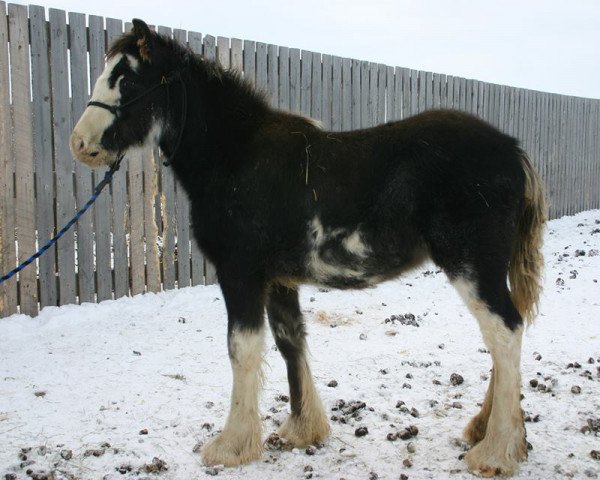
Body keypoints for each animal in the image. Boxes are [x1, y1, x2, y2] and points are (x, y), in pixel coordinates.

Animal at [71, 18, 548, 476]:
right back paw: (487, 431)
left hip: (472, 265)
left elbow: (242, 350)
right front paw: (303, 430)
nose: (80, 144)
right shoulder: (279, 280)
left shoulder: (239, 273)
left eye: (128, 79)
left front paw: (231, 446)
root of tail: (513, 152)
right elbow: (289, 341)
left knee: (504, 331)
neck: (234, 157)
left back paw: (497, 451)